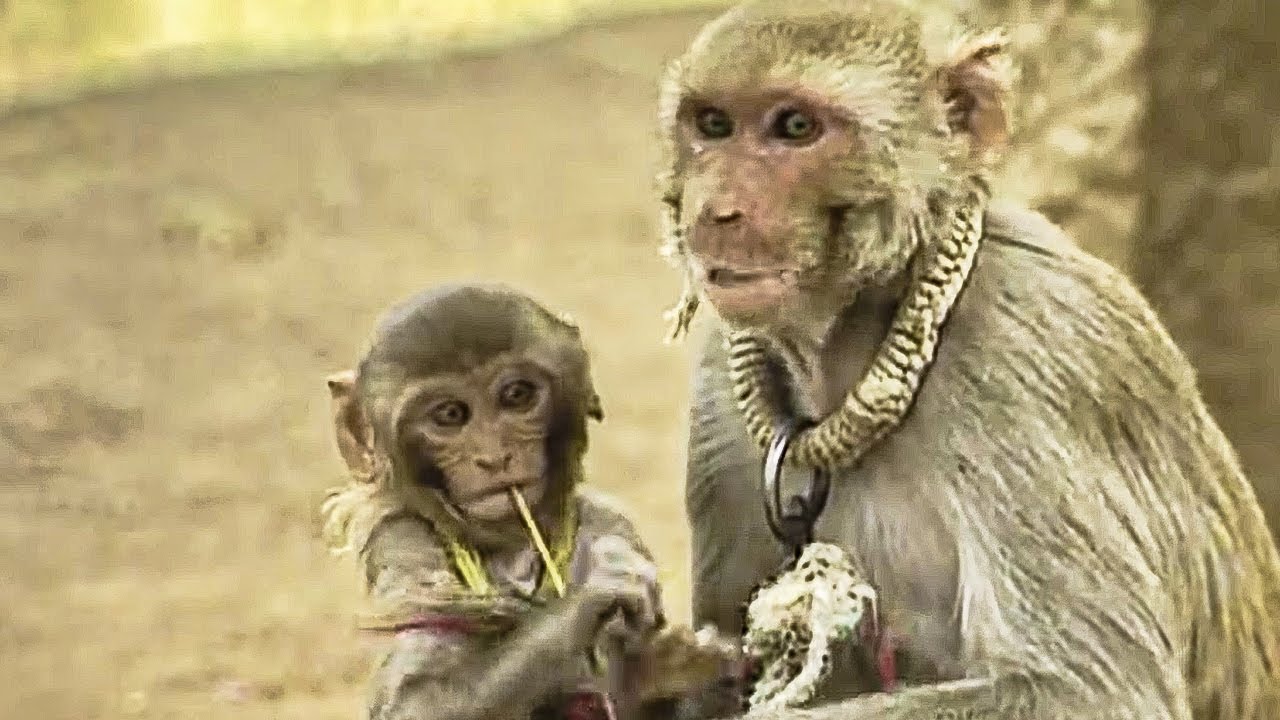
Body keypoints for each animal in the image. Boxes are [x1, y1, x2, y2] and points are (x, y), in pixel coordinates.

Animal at [319, 284, 744, 720]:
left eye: (516, 395)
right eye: (450, 415)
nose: (494, 456)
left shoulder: (613, 521)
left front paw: (666, 670)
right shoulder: (402, 540)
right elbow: (415, 701)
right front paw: (596, 598)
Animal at [654, 1, 1280, 719]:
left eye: (795, 127)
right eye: (713, 125)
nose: (717, 211)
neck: (860, 340)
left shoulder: (1020, 364)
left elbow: (1092, 693)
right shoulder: (720, 387)